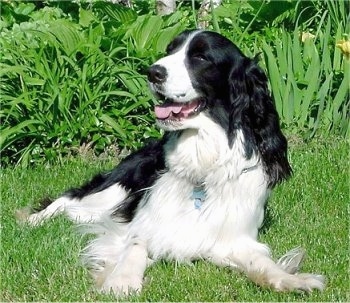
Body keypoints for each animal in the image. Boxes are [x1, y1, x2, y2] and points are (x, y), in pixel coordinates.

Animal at [18, 29, 326, 296]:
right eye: (170, 50)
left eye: (200, 57)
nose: (152, 72)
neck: (202, 160)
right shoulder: (139, 222)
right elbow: (136, 243)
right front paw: (122, 280)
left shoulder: (233, 237)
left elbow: (261, 262)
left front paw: (292, 280)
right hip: (111, 192)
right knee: (69, 200)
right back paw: (31, 220)